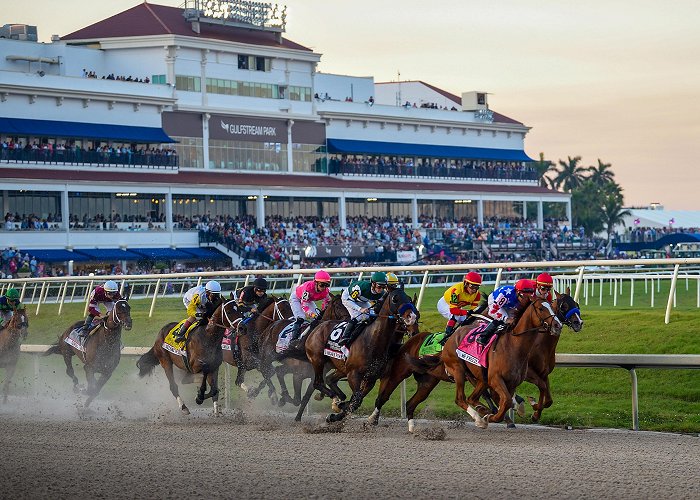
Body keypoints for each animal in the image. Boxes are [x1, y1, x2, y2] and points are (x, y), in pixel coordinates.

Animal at [304, 288, 416, 424]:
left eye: (408, 298)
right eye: (395, 298)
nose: (412, 317)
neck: (373, 339)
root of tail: (319, 325)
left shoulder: (371, 377)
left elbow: (357, 400)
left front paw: (337, 413)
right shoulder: (353, 374)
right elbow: (356, 400)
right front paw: (339, 408)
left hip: (339, 366)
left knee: (329, 379)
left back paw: (338, 401)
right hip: (318, 360)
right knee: (318, 383)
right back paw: (335, 399)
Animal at [442, 296, 564, 430]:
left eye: (552, 307)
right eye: (541, 308)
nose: (558, 325)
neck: (514, 346)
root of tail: (452, 336)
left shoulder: (512, 382)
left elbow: (507, 401)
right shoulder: (496, 379)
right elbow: (506, 401)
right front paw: (492, 417)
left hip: (482, 378)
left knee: (472, 398)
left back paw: (484, 411)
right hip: (458, 369)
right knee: (460, 399)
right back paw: (480, 419)